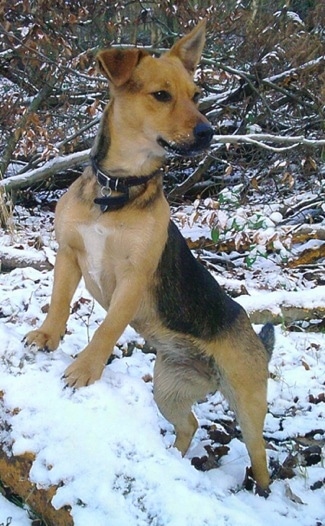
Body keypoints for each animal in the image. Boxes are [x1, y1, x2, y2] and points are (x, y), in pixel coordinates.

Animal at [25, 20, 274, 496]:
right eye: (161, 95)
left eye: (196, 95)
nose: (209, 133)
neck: (116, 191)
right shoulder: (69, 254)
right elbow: (60, 302)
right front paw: (48, 336)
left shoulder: (133, 278)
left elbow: (106, 329)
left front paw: (85, 369)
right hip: (168, 388)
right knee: (190, 425)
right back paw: (175, 459)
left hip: (249, 404)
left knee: (259, 452)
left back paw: (262, 489)